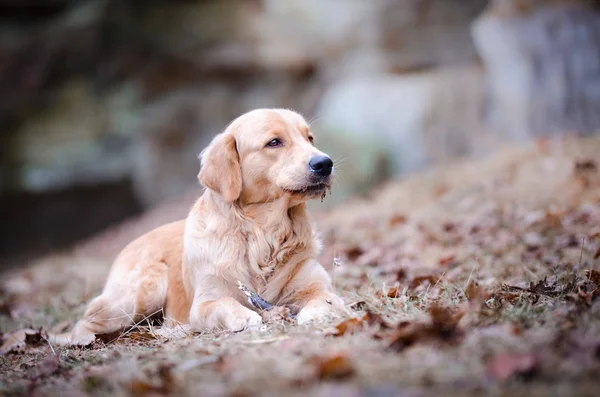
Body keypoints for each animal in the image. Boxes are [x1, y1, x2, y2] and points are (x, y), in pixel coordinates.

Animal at [55, 108, 350, 344]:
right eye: (274, 142)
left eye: (309, 138)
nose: (324, 163)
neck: (263, 236)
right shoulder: (204, 303)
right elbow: (225, 303)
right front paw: (247, 318)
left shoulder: (317, 284)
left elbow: (325, 298)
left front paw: (315, 313)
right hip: (142, 292)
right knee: (85, 320)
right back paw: (80, 340)